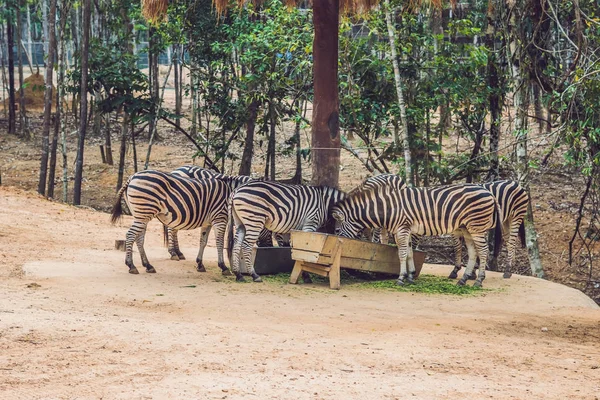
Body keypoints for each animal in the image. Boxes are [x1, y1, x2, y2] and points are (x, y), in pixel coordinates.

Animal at [330, 184, 504, 288]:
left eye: (337, 231)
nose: (340, 243)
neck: (388, 209)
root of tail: (489, 192)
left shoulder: (401, 229)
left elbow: (402, 254)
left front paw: (401, 278)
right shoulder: (405, 230)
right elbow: (409, 253)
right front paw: (411, 276)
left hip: (477, 227)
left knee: (483, 251)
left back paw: (479, 280)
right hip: (467, 228)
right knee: (474, 252)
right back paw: (463, 279)